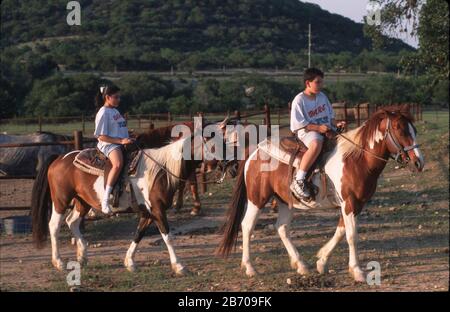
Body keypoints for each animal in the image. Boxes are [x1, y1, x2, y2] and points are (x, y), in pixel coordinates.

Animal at [218, 105, 426, 282]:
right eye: (400, 129)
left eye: (414, 130)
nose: (419, 163)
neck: (357, 159)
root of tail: (254, 153)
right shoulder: (349, 203)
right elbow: (351, 235)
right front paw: (357, 271)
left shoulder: (355, 205)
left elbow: (341, 232)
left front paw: (321, 261)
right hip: (257, 199)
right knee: (247, 226)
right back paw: (250, 267)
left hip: (285, 201)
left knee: (282, 228)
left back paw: (301, 265)